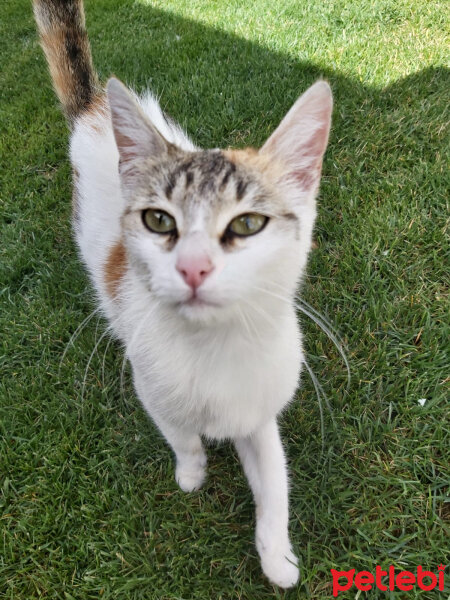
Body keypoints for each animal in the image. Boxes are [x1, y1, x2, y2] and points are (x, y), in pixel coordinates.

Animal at [33, 0, 332, 592]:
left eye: (248, 224)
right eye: (158, 220)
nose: (194, 266)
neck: (212, 348)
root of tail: (95, 108)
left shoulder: (259, 410)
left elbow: (275, 483)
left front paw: (277, 557)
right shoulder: (151, 388)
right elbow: (183, 437)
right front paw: (192, 473)